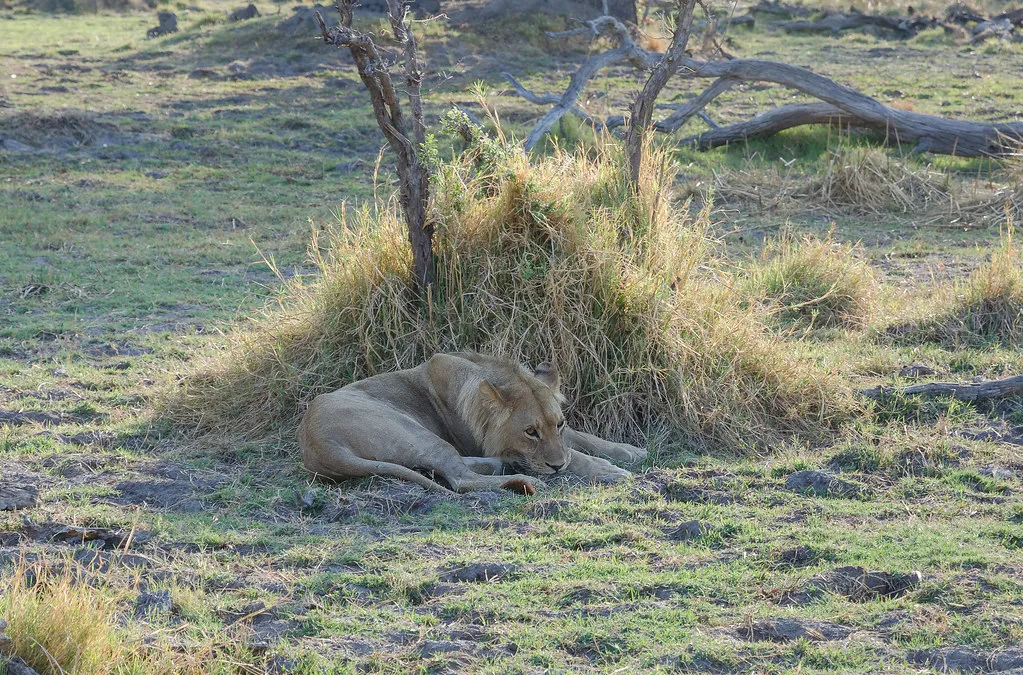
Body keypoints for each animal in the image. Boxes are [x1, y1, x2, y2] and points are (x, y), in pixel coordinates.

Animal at [298, 353, 646, 490]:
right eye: (530, 432)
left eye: (557, 424)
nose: (556, 467)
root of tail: (316, 444)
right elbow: (576, 455)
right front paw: (607, 470)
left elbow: (582, 439)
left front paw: (632, 451)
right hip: (412, 430)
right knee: (460, 480)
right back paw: (516, 478)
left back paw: (499, 467)